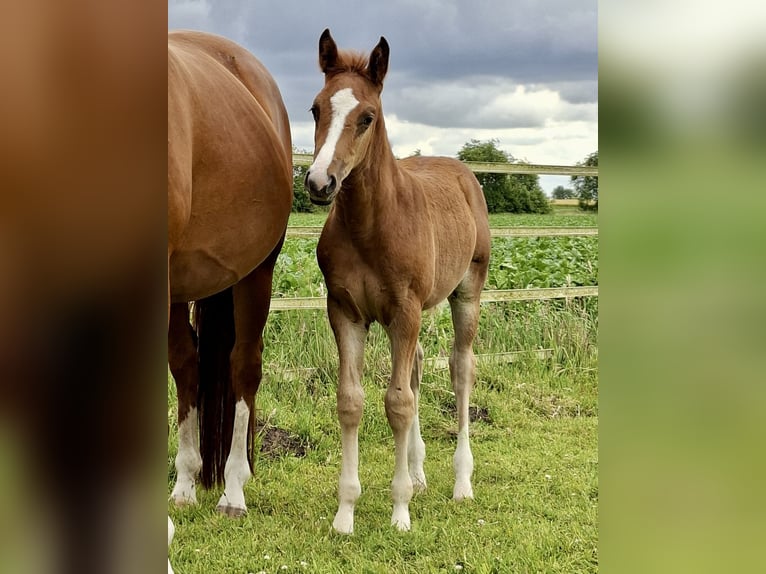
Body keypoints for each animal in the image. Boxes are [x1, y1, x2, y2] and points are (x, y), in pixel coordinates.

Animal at [305, 29, 490, 534]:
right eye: (316, 108)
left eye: (367, 117)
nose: (319, 182)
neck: (371, 226)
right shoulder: (346, 312)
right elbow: (352, 401)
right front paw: (345, 513)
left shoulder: (404, 311)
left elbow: (398, 403)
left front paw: (400, 510)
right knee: (419, 367)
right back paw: (420, 472)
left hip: (466, 292)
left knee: (460, 370)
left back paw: (461, 483)